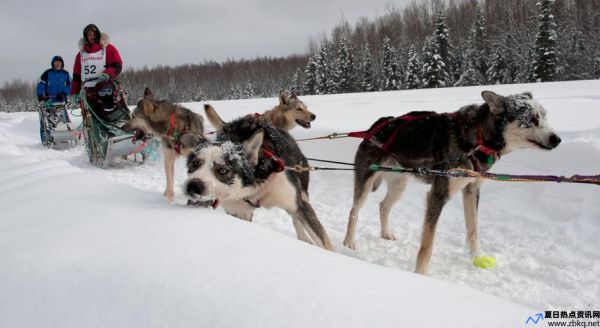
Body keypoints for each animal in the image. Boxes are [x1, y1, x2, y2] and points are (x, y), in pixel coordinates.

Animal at [184, 116, 332, 250]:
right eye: (195, 163)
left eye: (222, 170)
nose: (193, 186)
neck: (257, 187)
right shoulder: (238, 212)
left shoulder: (296, 204)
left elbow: (325, 243)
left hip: (302, 195)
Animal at [342, 90, 564, 274]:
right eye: (531, 119)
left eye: (544, 116)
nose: (557, 139)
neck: (477, 138)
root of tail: (376, 126)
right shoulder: (437, 195)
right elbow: (427, 244)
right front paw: (421, 274)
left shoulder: (472, 190)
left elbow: (473, 229)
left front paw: (478, 256)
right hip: (366, 182)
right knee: (354, 211)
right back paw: (348, 243)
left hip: (399, 186)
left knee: (383, 206)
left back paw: (385, 233)